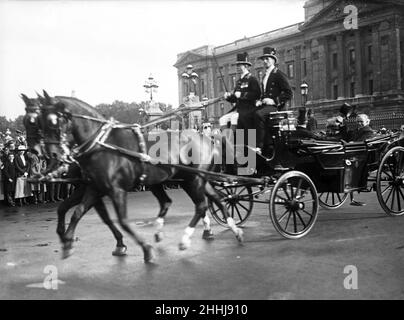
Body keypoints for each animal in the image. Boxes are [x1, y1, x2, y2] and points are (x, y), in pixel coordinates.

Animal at [37, 91, 243, 262]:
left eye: (53, 121)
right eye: (39, 122)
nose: (51, 154)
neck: (101, 145)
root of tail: (207, 138)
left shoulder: (113, 190)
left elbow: (120, 220)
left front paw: (142, 248)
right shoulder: (94, 188)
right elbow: (76, 211)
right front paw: (67, 241)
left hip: (193, 179)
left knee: (201, 205)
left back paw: (186, 239)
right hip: (189, 179)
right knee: (210, 199)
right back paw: (232, 229)